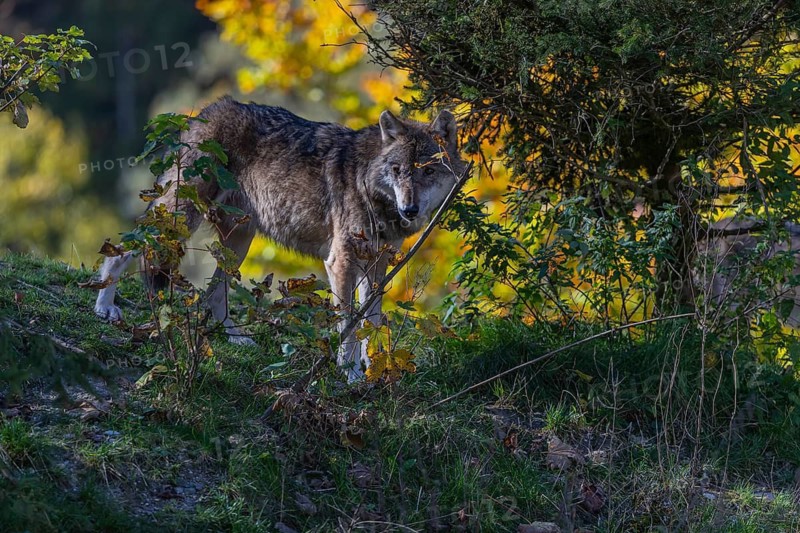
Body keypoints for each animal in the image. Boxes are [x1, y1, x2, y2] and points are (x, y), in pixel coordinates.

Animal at [94, 96, 466, 381]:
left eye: (428, 171)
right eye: (398, 171)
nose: (409, 209)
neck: (369, 186)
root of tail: (205, 111)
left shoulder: (377, 267)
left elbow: (369, 323)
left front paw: (373, 369)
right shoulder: (341, 261)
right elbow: (348, 326)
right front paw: (350, 374)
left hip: (239, 239)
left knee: (214, 294)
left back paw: (237, 338)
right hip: (181, 218)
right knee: (126, 246)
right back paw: (105, 306)